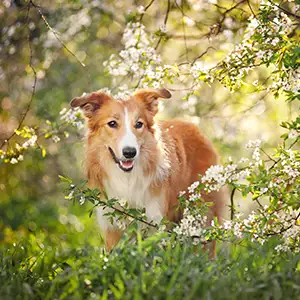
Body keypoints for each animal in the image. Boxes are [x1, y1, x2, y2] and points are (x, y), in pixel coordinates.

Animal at [71, 88, 225, 256]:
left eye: (139, 124)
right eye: (112, 123)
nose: (130, 152)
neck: (127, 178)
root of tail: (194, 127)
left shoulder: (156, 223)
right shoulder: (112, 227)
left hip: (201, 216)